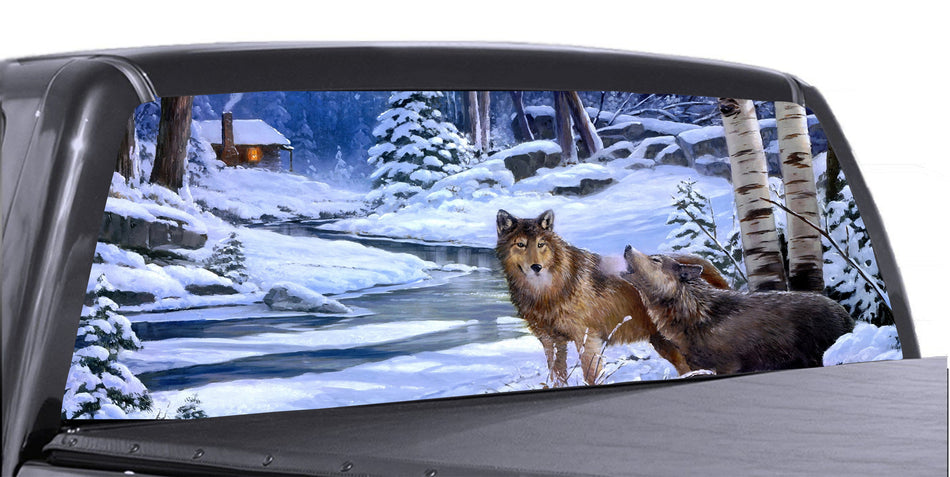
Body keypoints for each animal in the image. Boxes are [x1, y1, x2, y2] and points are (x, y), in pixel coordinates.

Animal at [495, 209, 729, 385]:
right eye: (521, 244)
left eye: (541, 244)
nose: (536, 267)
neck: (546, 291)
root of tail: (700, 263)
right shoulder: (550, 341)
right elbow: (557, 376)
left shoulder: (587, 339)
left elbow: (590, 375)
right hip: (664, 345)